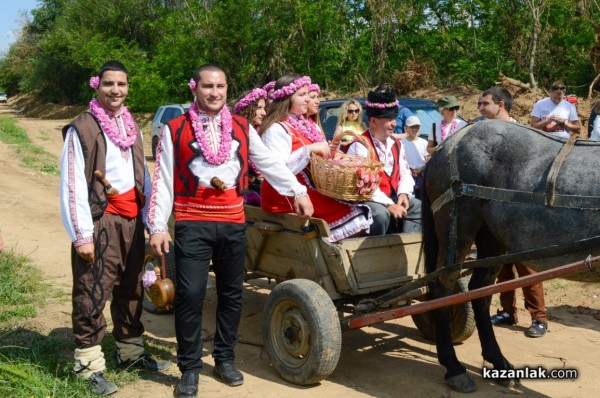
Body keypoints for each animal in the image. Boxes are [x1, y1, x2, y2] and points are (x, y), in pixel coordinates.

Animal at [422, 119, 600, 394]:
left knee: (479, 292)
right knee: (443, 288)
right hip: (458, 228)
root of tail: (448, 142)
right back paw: (454, 368)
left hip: (491, 238)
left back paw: (498, 362)